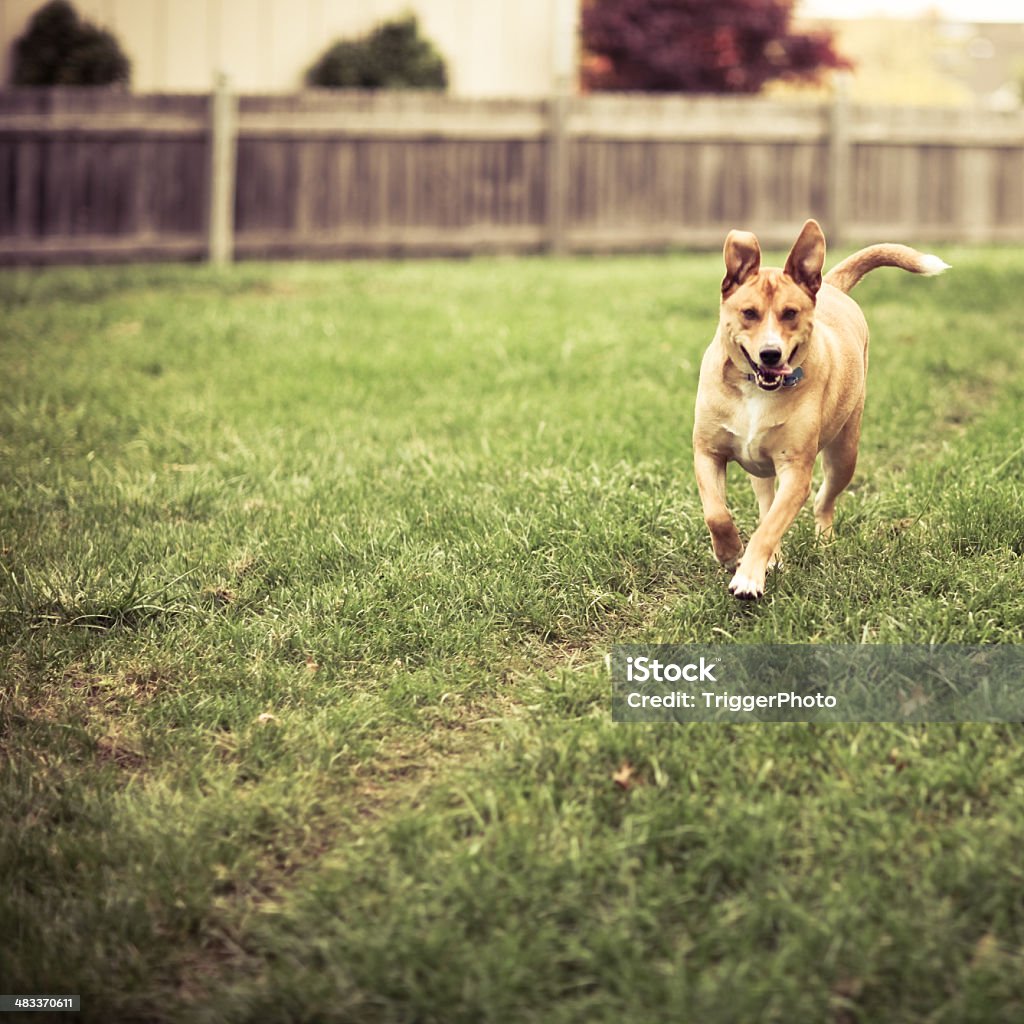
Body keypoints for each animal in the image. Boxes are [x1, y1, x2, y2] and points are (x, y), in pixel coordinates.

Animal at [692, 218, 946, 598]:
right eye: (749, 313)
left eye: (790, 314)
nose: (771, 354)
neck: (756, 389)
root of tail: (831, 286)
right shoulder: (707, 452)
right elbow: (717, 514)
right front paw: (730, 552)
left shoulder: (796, 470)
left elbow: (770, 527)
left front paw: (749, 576)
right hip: (761, 471)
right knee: (766, 504)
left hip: (844, 454)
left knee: (821, 501)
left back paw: (821, 542)